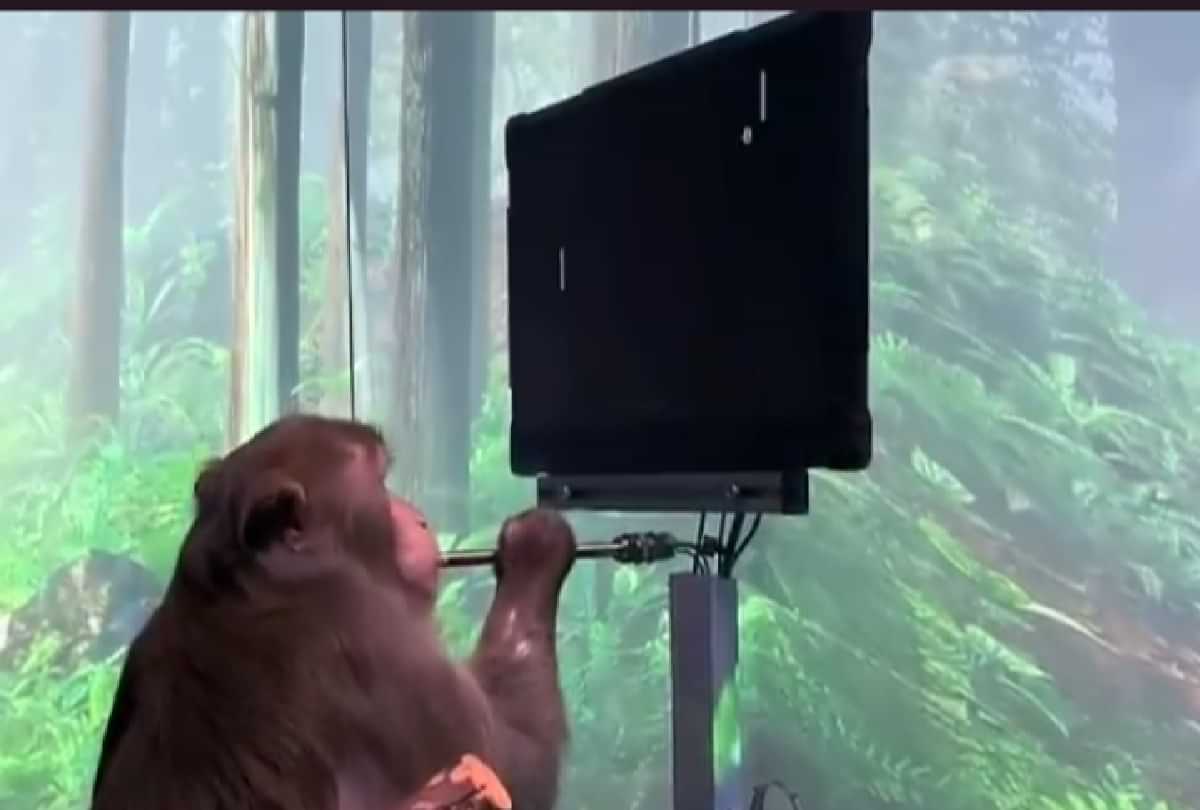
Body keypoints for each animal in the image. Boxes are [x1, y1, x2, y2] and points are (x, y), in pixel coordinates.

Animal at [90, 414, 576, 810]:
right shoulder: (377, 635)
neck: (260, 578)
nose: (418, 517)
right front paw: (535, 548)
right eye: (381, 482)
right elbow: (518, 763)